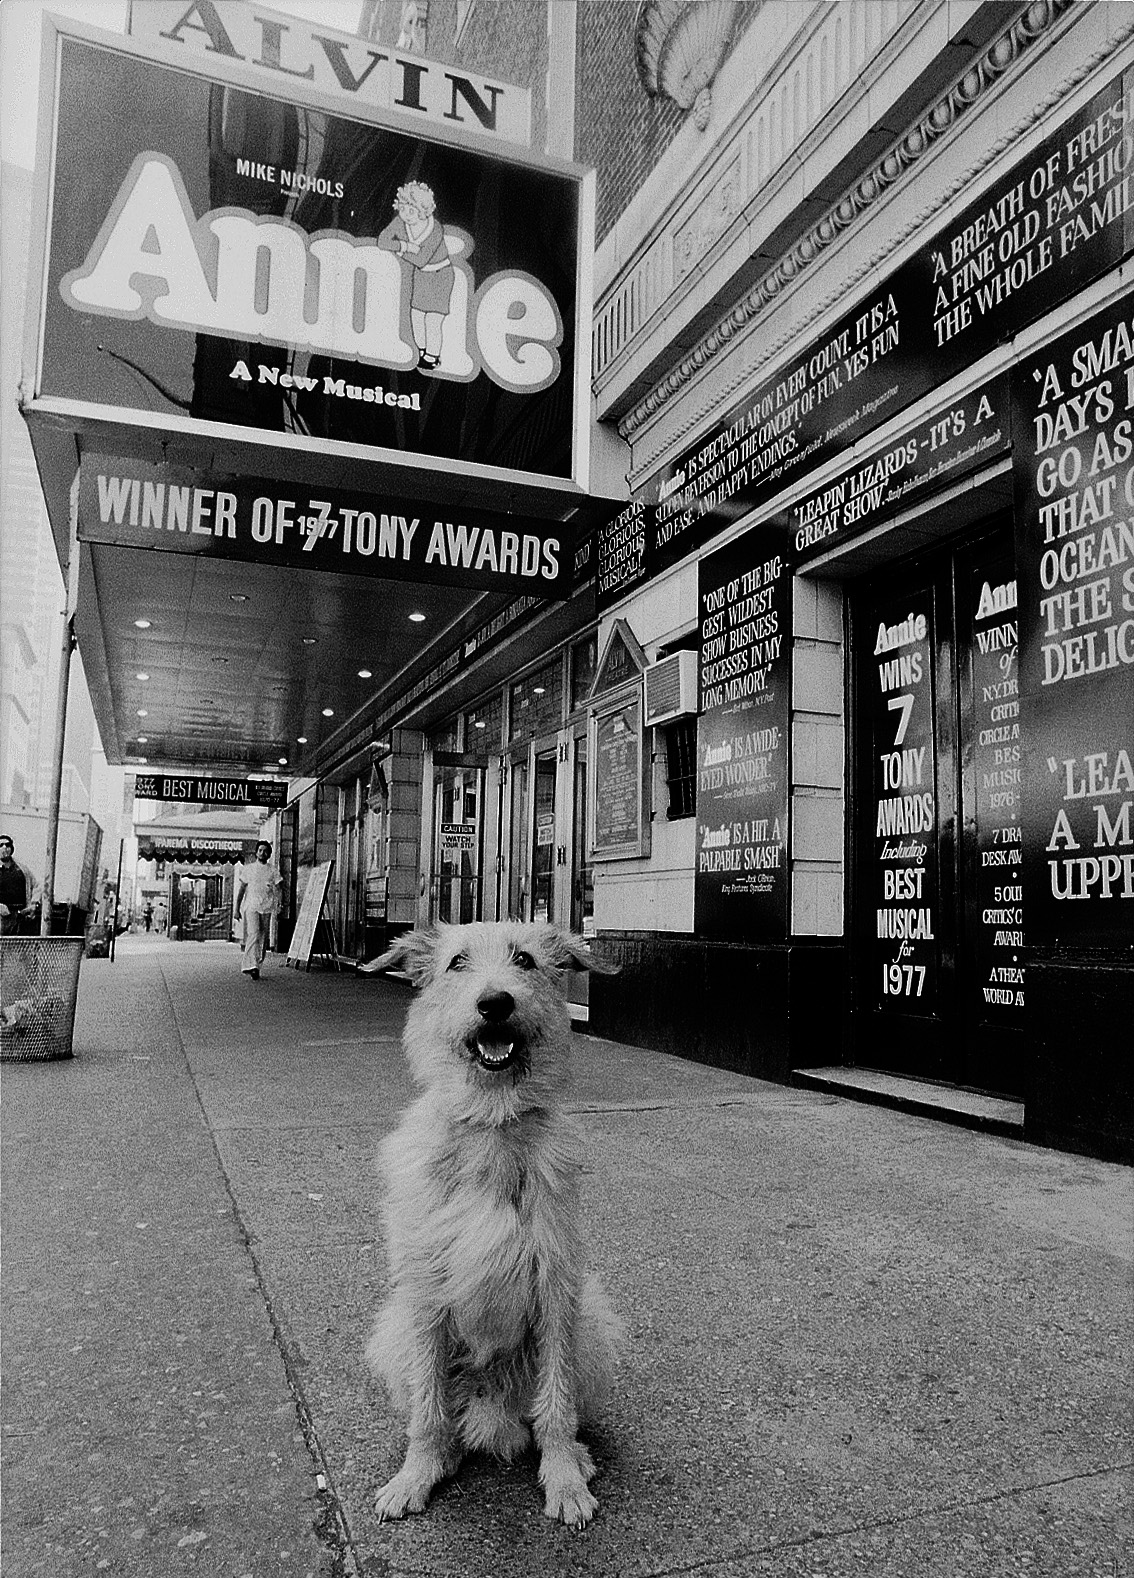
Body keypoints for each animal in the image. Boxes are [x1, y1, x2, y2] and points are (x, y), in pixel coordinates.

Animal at [367, 921, 624, 1527]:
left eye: (525, 960)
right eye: (457, 962)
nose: (494, 1003)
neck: (492, 1122)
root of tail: (492, 1412)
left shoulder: (556, 1287)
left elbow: (556, 1403)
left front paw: (563, 1477)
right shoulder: (424, 1293)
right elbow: (429, 1408)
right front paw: (416, 1473)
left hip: (593, 1324)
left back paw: (577, 1455)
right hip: (392, 1330)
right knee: (445, 1413)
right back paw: (444, 1453)